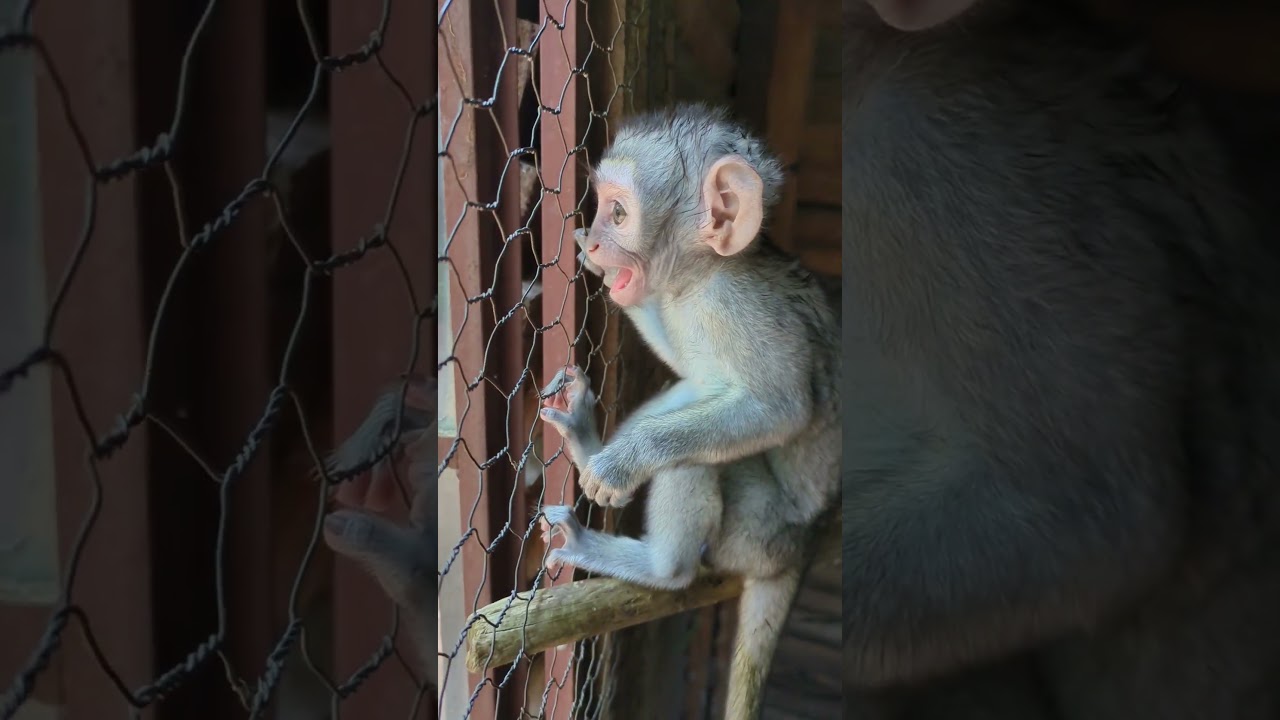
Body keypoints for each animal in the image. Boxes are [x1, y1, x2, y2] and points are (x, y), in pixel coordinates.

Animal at [534, 104, 841, 719]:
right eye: (599, 210)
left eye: (619, 213)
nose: (597, 246)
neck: (701, 277)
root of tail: (806, 545)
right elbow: (694, 373)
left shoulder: (738, 305)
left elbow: (783, 410)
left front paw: (625, 461)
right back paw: (588, 442)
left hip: (761, 530)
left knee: (696, 457)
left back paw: (659, 567)